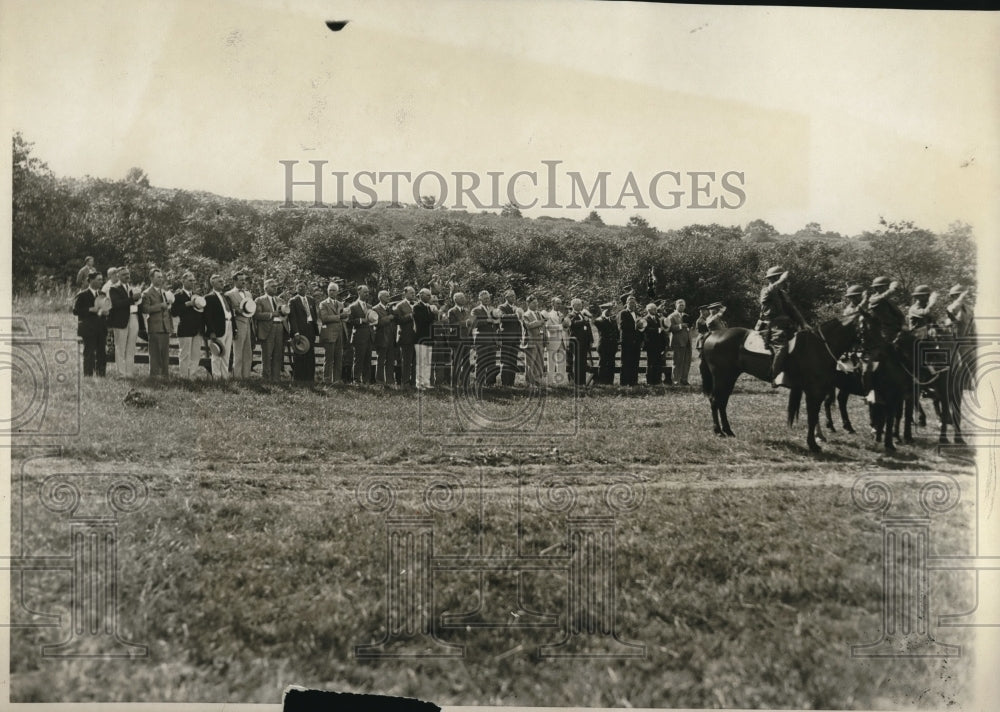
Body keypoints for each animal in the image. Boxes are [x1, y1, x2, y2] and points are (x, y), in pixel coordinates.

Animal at [700, 316, 864, 450]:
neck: (819, 346)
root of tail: (713, 334)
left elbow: (815, 414)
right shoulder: (814, 390)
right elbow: (812, 416)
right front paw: (813, 443)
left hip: (729, 377)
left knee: (722, 402)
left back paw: (728, 431)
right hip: (722, 376)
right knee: (715, 400)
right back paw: (718, 431)